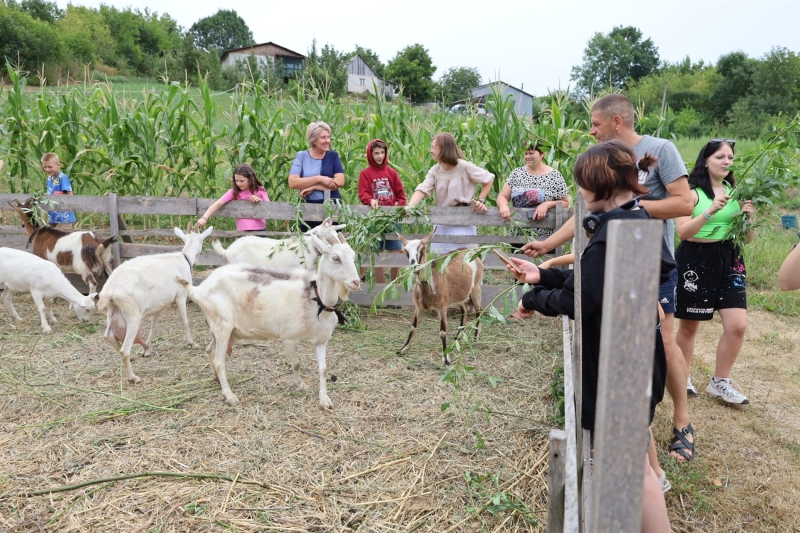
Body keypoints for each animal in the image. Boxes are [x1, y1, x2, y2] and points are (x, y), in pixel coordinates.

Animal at [396, 231, 484, 364]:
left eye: (422, 249)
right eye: (406, 251)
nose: (414, 266)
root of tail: (472, 252)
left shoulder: (442, 307)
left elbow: (442, 332)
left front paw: (446, 358)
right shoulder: (419, 306)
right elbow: (413, 327)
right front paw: (403, 349)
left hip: (476, 288)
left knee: (479, 310)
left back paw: (475, 337)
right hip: (459, 295)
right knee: (464, 309)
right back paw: (458, 335)